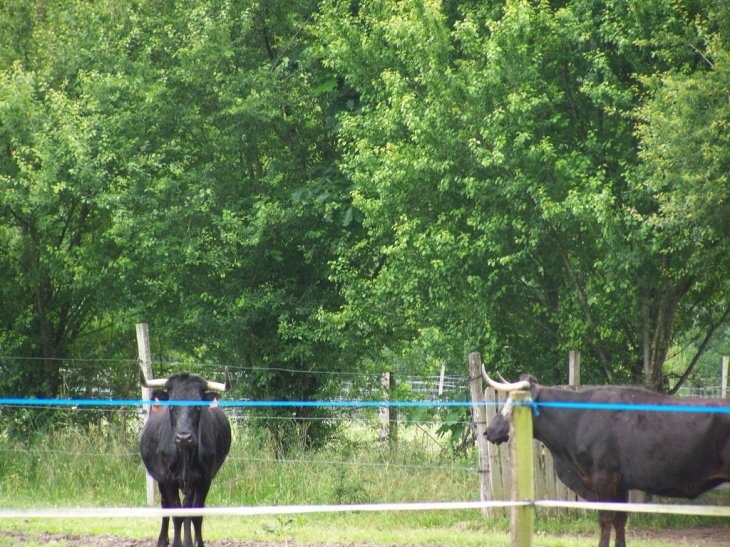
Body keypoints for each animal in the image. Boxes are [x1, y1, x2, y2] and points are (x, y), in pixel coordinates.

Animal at [139, 368, 230, 547]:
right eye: (172, 407)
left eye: (198, 407)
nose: (183, 437)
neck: (185, 453)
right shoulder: (168, 479)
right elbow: (176, 514)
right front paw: (176, 543)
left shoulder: (204, 479)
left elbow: (195, 515)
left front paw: (197, 543)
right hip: (161, 479)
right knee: (166, 505)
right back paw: (162, 540)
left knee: (188, 506)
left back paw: (189, 541)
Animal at [480, 368, 728, 547]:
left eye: (513, 404)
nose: (488, 431)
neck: (578, 419)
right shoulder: (621, 483)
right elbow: (620, 520)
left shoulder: (604, 478)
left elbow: (606, 518)